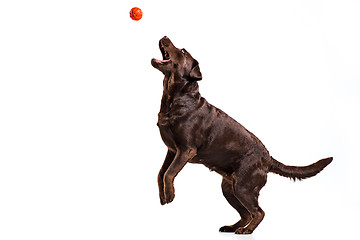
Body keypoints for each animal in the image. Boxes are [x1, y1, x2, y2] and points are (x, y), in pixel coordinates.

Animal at [150, 36, 334, 233]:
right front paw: (163, 195)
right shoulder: (172, 151)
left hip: (243, 187)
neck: (175, 98)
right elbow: (161, 173)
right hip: (229, 188)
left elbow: (169, 173)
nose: (165, 36)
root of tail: (268, 159)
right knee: (246, 213)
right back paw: (231, 227)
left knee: (258, 212)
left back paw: (246, 230)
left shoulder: (186, 150)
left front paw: (170, 194)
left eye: (182, 51)